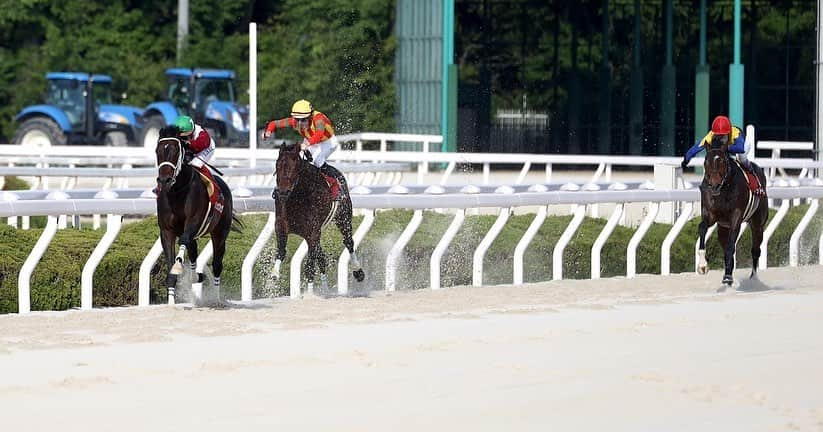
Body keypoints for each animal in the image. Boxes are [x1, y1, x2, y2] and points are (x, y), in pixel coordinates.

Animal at [155, 125, 241, 304]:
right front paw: (171, 301)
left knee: (217, 264)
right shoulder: (166, 231)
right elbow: (171, 269)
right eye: (157, 151)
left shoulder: (193, 222)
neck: (177, 191)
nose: (164, 180)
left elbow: (183, 242)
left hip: (220, 233)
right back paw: (196, 276)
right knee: (194, 252)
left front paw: (179, 266)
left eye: (175, 151)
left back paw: (216, 299)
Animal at [272, 143, 366, 294]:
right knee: (321, 257)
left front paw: (310, 293)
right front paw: (274, 273)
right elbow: (281, 250)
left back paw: (358, 272)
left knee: (348, 242)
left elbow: (310, 265)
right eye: (278, 165)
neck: (298, 197)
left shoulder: (313, 231)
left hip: (343, 217)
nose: (282, 192)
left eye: (294, 167)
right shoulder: (281, 224)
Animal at [700, 137, 768, 286]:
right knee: (727, 246)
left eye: (723, 162)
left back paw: (753, 278)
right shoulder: (710, 214)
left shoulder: (736, 218)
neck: (723, 190)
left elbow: (731, 247)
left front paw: (727, 277)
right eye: (706, 162)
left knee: (755, 250)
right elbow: (702, 228)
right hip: (722, 228)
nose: (714, 185)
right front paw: (702, 265)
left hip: (757, 224)